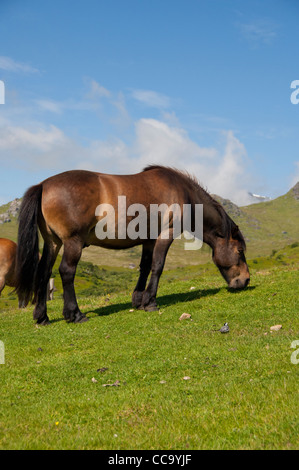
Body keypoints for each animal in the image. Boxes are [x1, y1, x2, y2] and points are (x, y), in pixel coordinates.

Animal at [15, 165, 251, 324]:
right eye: (239, 250)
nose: (246, 280)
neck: (183, 193)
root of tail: (43, 185)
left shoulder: (148, 240)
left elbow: (144, 268)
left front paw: (138, 300)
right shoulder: (165, 235)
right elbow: (157, 267)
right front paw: (151, 302)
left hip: (53, 243)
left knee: (44, 272)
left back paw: (42, 316)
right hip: (73, 242)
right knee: (66, 271)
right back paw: (75, 314)